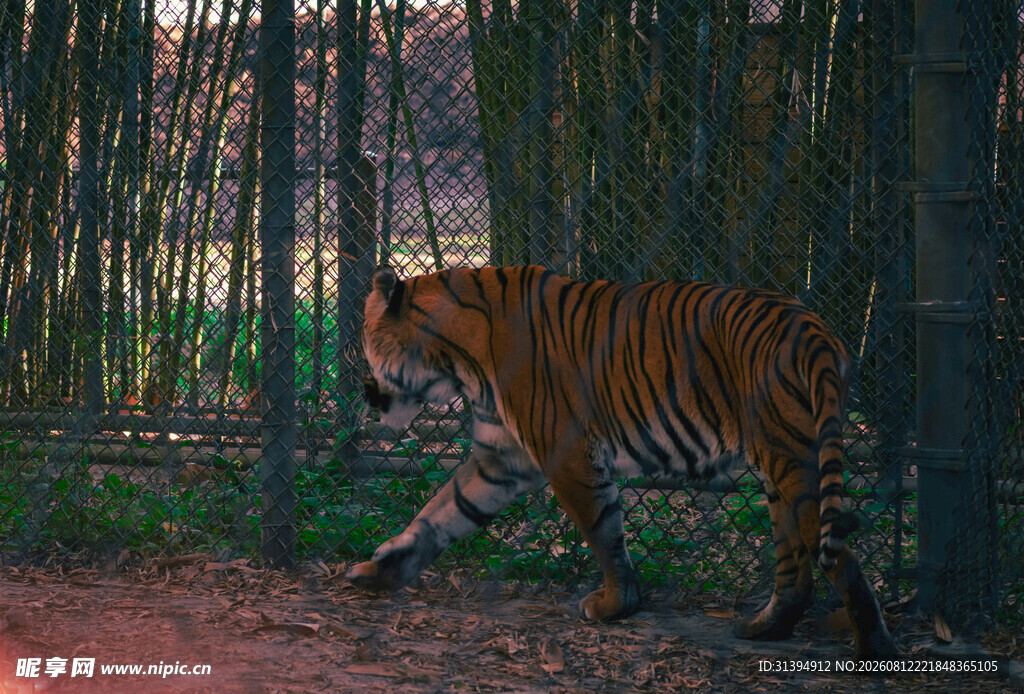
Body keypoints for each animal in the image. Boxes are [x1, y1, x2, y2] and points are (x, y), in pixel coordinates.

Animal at [348, 265, 897, 658]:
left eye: (365, 343)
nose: (365, 392)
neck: (453, 358)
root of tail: (812, 325)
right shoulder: (500, 460)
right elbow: (442, 512)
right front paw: (383, 571)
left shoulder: (566, 453)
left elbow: (604, 533)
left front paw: (615, 606)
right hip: (780, 467)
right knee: (795, 565)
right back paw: (764, 628)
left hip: (791, 459)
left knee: (836, 556)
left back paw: (872, 645)